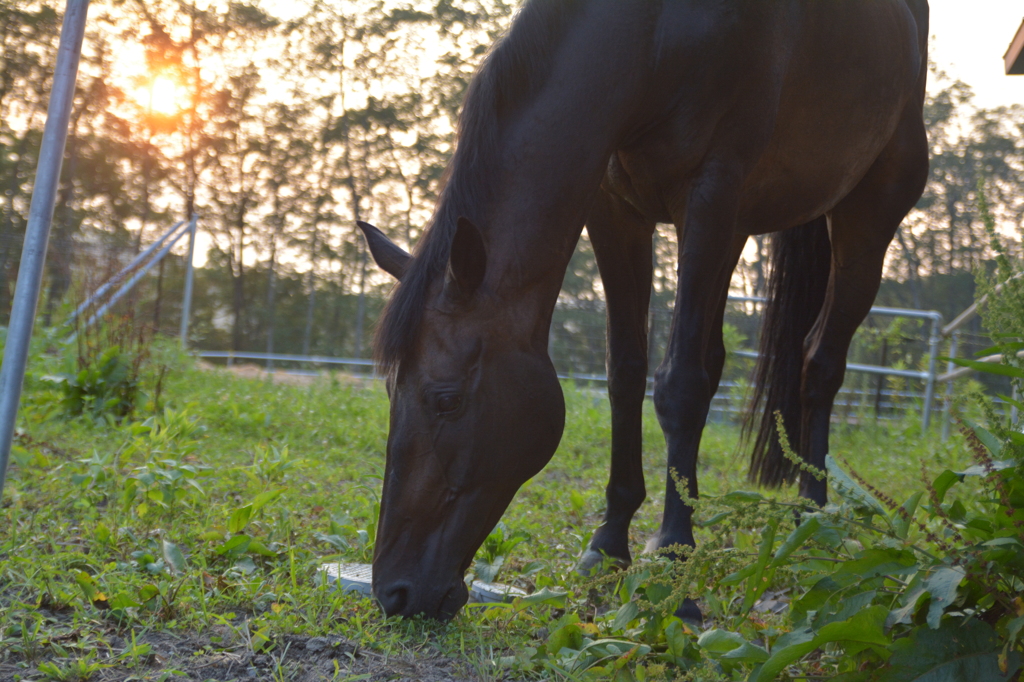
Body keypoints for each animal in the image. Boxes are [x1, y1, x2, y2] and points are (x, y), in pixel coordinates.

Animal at [356, 0, 933, 618]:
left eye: (447, 400)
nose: (394, 591)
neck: (659, 36)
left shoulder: (709, 196)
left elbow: (679, 385)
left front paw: (677, 561)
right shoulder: (615, 210)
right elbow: (627, 374)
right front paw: (609, 545)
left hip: (865, 219)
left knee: (819, 364)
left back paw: (812, 512)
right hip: (740, 228)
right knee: (723, 360)